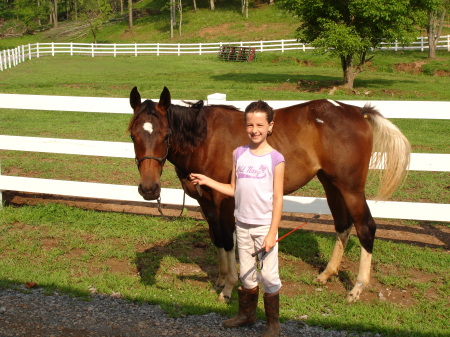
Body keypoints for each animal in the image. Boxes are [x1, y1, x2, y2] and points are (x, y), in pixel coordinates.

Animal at [127, 86, 412, 302]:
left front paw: (229, 286)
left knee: (366, 227)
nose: (149, 189)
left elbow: (228, 241)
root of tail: (357, 111)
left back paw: (357, 288)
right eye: (132, 135)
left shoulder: (224, 202)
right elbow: (217, 239)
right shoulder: (206, 203)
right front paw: (220, 278)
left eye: (166, 134)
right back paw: (326, 274)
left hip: (351, 187)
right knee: (343, 224)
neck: (205, 141)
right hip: (331, 184)